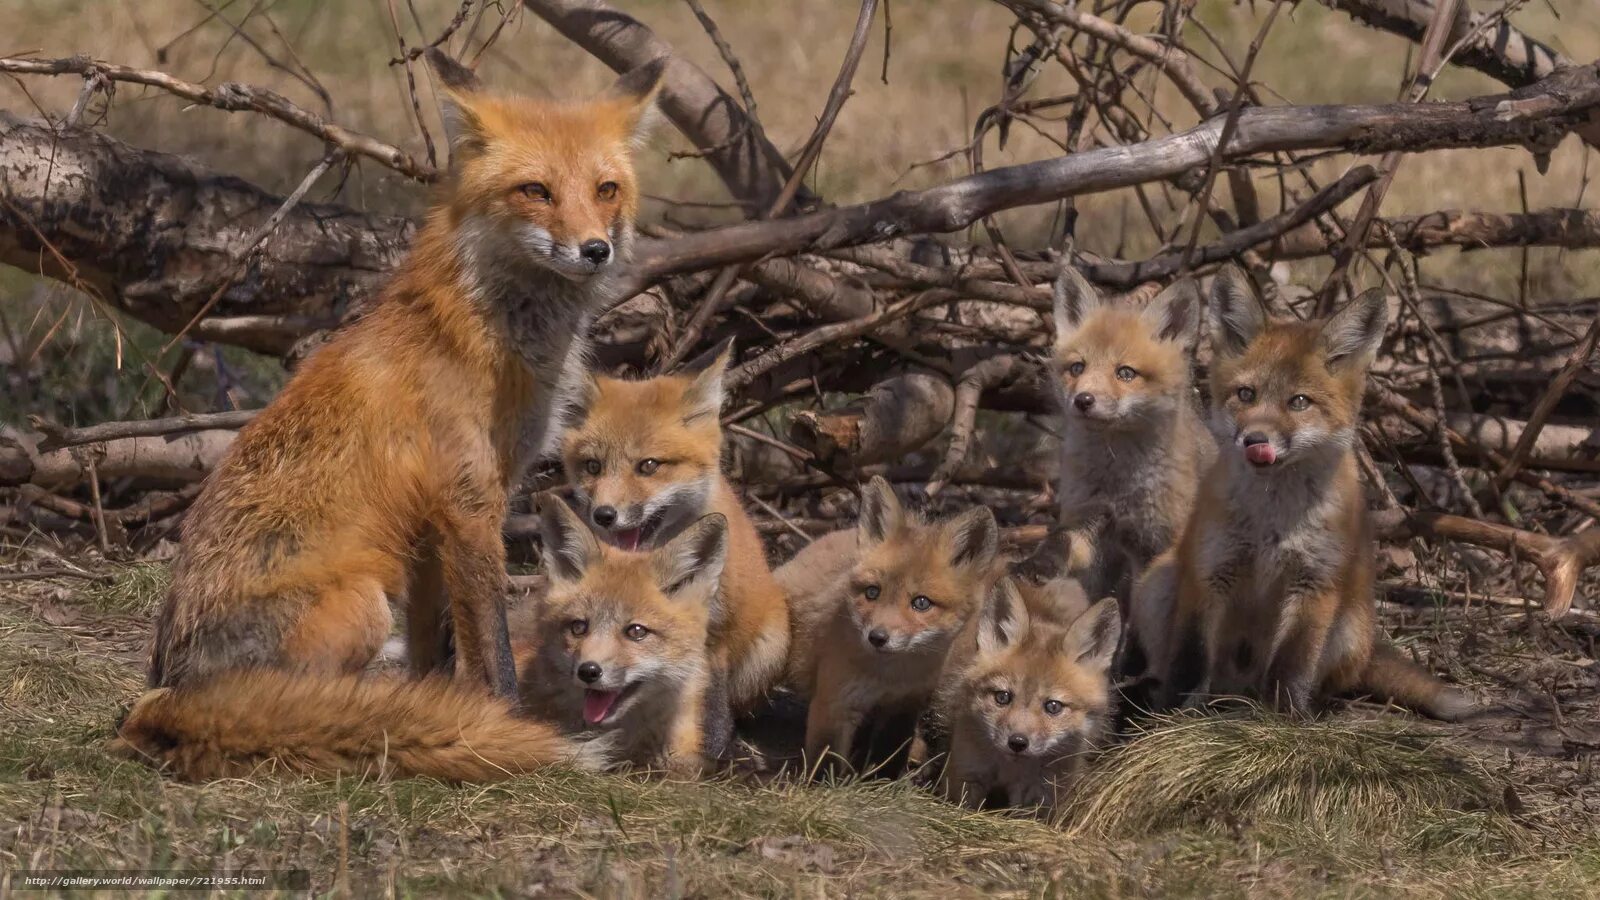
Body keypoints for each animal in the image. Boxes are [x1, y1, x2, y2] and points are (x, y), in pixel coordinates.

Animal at [1139, 277, 1472, 717]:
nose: (1255, 440)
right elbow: (1188, 659)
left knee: (1326, 679)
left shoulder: (1315, 581)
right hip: (1157, 584)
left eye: (1298, 402)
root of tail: (1238, 688)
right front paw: (1170, 717)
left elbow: (1293, 663)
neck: (1272, 522)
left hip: (1349, 626)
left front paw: (1286, 720)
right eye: (1246, 394)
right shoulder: (1210, 571)